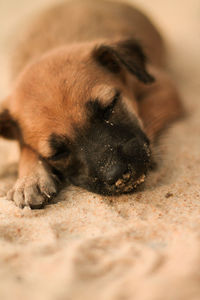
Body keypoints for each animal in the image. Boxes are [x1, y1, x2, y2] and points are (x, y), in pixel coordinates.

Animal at [0, 0, 183, 207]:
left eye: (110, 106)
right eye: (57, 153)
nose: (120, 175)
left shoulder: (164, 87)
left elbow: (146, 115)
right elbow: (24, 147)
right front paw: (29, 180)